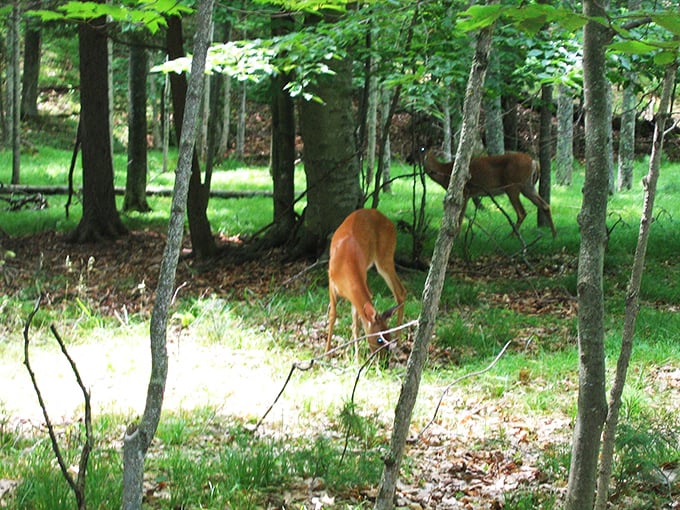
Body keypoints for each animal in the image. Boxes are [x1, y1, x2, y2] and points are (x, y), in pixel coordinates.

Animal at [326, 207, 406, 362]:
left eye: (388, 335)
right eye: (379, 339)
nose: (384, 361)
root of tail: (388, 220)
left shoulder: (361, 281)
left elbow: (356, 325)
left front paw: (356, 358)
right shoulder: (331, 282)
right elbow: (333, 315)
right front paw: (327, 354)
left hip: (385, 256)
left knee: (400, 291)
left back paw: (399, 341)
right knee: (400, 291)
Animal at [412, 145, 556, 237]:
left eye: (421, 149)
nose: (409, 158)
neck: (444, 172)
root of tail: (534, 162)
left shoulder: (465, 191)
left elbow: (460, 215)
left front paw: (456, 234)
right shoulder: (469, 194)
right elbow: (461, 214)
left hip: (513, 186)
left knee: (521, 212)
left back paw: (511, 236)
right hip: (528, 186)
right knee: (545, 205)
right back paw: (554, 235)